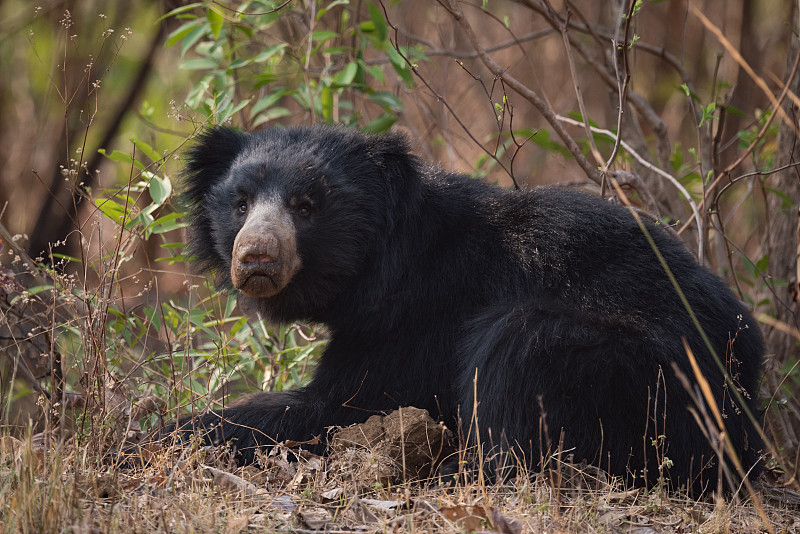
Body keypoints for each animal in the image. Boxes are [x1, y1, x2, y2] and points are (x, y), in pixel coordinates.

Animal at [181, 125, 764, 494]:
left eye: (305, 207)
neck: (389, 262)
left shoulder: (419, 318)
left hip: (652, 380)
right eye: (240, 203)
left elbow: (340, 406)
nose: (256, 256)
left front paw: (176, 435)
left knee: (518, 346)